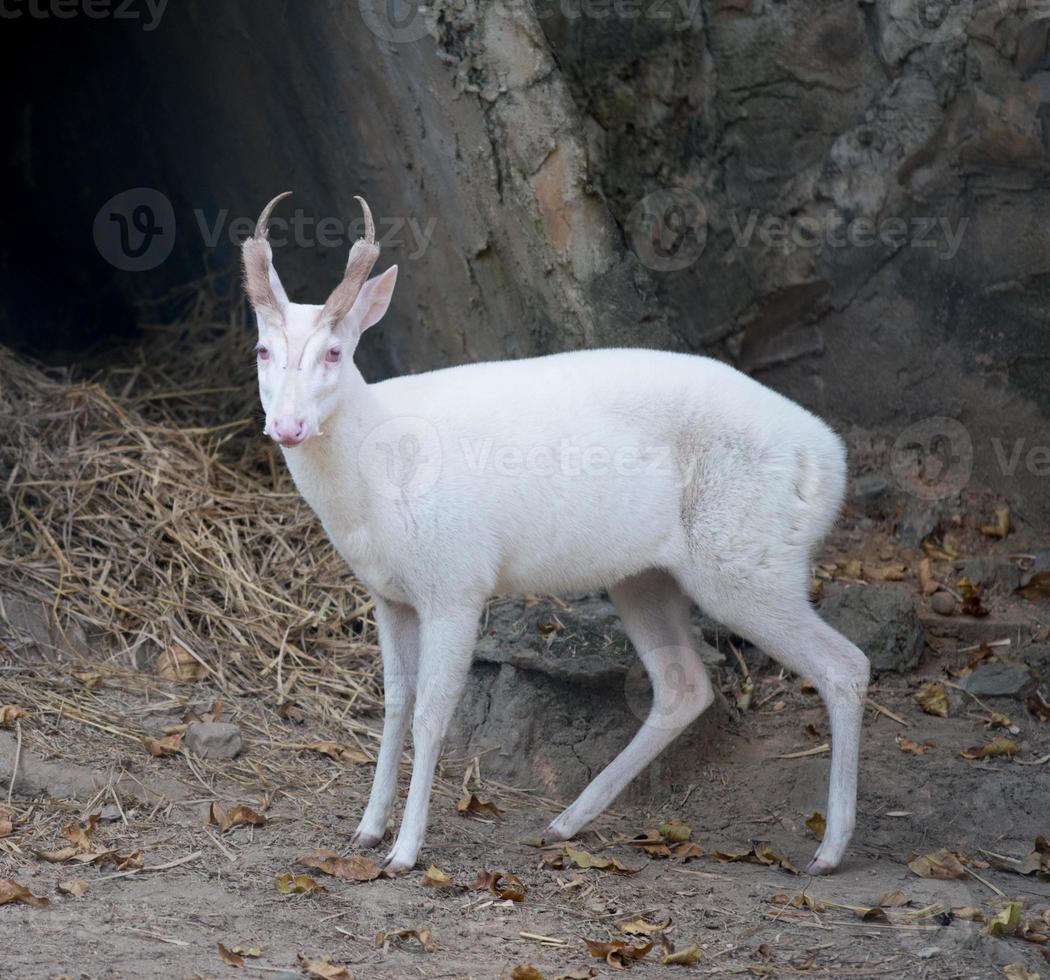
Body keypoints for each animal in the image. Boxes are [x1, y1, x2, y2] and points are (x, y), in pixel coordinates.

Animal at [243, 189, 869, 873]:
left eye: (335, 352)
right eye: (262, 350)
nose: (289, 425)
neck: (379, 477)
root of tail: (831, 463)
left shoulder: (457, 583)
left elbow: (432, 715)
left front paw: (405, 853)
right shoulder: (388, 594)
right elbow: (394, 704)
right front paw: (366, 830)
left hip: (747, 564)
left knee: (846, 665)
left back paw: (829, 851)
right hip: (646, 578)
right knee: (684, 685)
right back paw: (564, 822)